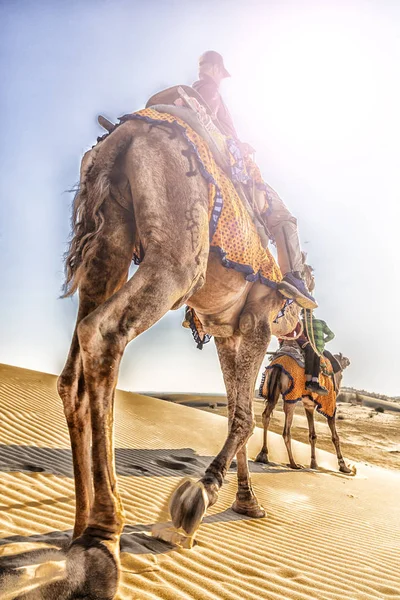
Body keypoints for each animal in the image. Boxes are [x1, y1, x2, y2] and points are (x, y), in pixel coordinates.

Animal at [56, 115, 310, 596]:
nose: (303, 329)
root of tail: (123, 136)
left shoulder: (227, 333)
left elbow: (236, 413)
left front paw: (248, 503)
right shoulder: (256, 322)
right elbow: (244, 418)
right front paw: (198, 496)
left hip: (111, 238)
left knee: (72, 372)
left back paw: (78, 529)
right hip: (177, 256)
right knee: (103, 332)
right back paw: (103, 536)